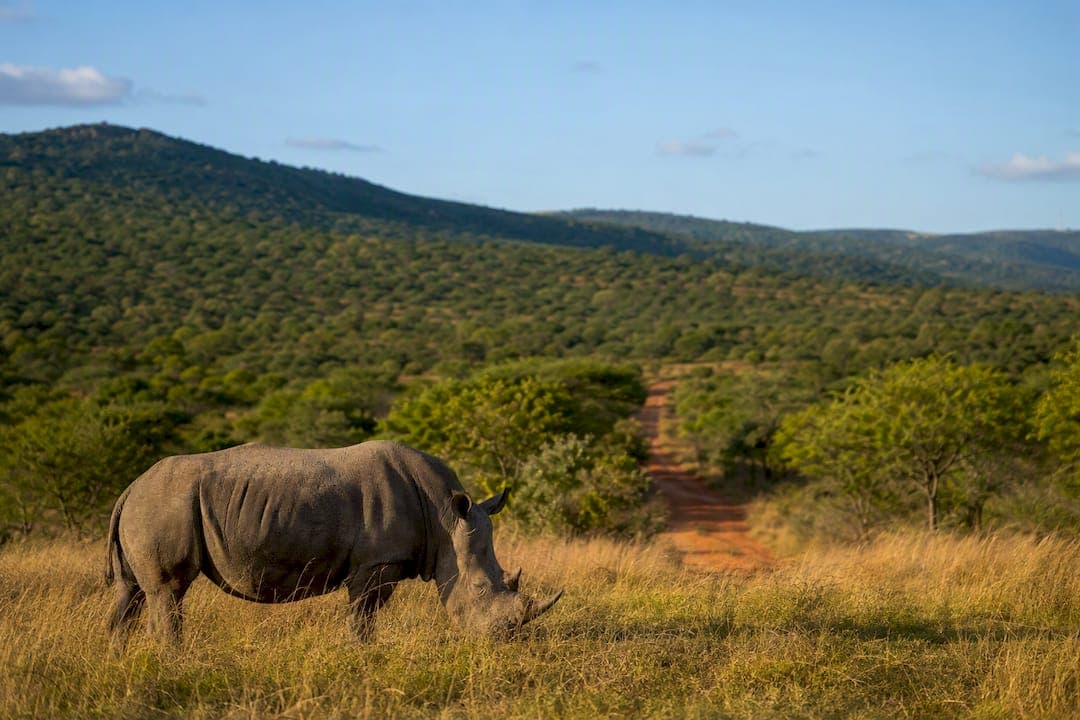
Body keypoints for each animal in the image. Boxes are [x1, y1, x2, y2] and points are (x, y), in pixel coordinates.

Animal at [105, 440, 561, 643]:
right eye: (482, 588)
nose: (503, 641)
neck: (446, 519)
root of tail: (130, 487)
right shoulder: (377, 563)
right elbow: (363, 617)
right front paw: (365, 654)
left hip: (150, 506)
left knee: (132, 592)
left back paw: (120, 659)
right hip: (165, 503)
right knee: (167, 591)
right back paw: (173, 659)